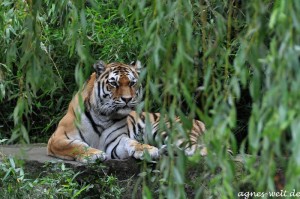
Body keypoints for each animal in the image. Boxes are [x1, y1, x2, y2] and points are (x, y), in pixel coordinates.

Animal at [47, 60, 206, 163]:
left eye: (132, 83)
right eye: (114, 83)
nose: (127, 99)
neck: (102, 117)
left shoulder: (115, 141)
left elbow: (131, 142)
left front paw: (146, 149)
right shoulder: (57, 138)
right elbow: (76, 146)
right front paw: (94, 153)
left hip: (167, 130)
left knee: (202, 150)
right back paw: (167, 150)